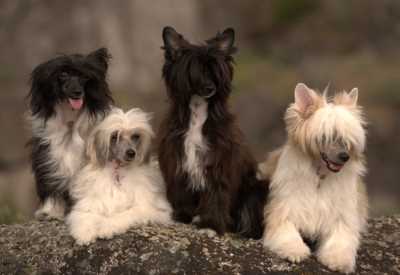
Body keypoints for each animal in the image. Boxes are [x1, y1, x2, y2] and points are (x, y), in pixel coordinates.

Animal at [27, 47, 113, 220]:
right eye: (63, 74)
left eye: (85, 77)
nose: (77, 92)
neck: (71, 120)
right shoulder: (48, 155)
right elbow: (51, 182)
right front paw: (50, 212)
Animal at [66, 108, 172, 246]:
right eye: (115, 136)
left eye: (135, 136)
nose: (131, 153)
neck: (118, 172)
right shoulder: (91, 202)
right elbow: (85, 215)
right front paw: (85, 232)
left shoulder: (147, 208)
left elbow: (124, 215)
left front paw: (106, 227)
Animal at [158, 26, 268, 239]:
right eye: (193, 71)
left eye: (215, 71)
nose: (211, 88)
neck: (197, 113)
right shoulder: (178, 159)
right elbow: (181, 191)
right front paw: (182, 216)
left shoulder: (218, 163)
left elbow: (216, 195)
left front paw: (210, 224)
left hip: (255, 190)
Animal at [260, 83, 368, 274]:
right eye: (326, 136)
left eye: (346, 139)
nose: (345, 156)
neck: (320, 176)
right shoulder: (284, 211)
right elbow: (287, 231)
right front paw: (294, 249)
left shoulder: (341, 218)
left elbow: (340, 240)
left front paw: (338, 260)